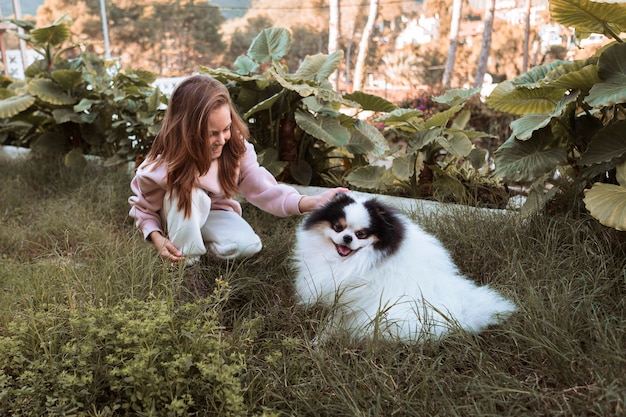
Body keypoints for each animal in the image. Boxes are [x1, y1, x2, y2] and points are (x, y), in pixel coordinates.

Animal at [290, 192, 516, 342]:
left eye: (361, 234)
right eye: (338, 227)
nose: (347, 238)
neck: (347, 261)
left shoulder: (350, 300)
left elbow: (332, 323)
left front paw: (318, 342)